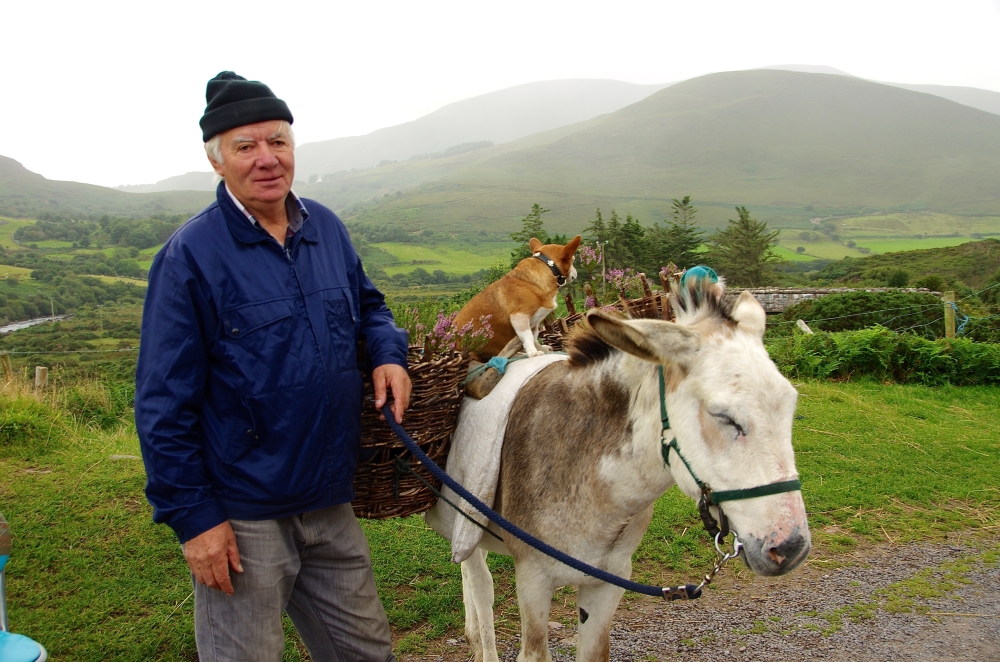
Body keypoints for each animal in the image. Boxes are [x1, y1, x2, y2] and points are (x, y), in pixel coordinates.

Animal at [430, 273, 810, 662]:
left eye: (791, 406)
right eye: (723, 416)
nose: (792, 548)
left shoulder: (609, 581)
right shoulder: (533, 578)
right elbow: (533, 650)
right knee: (481, 584)